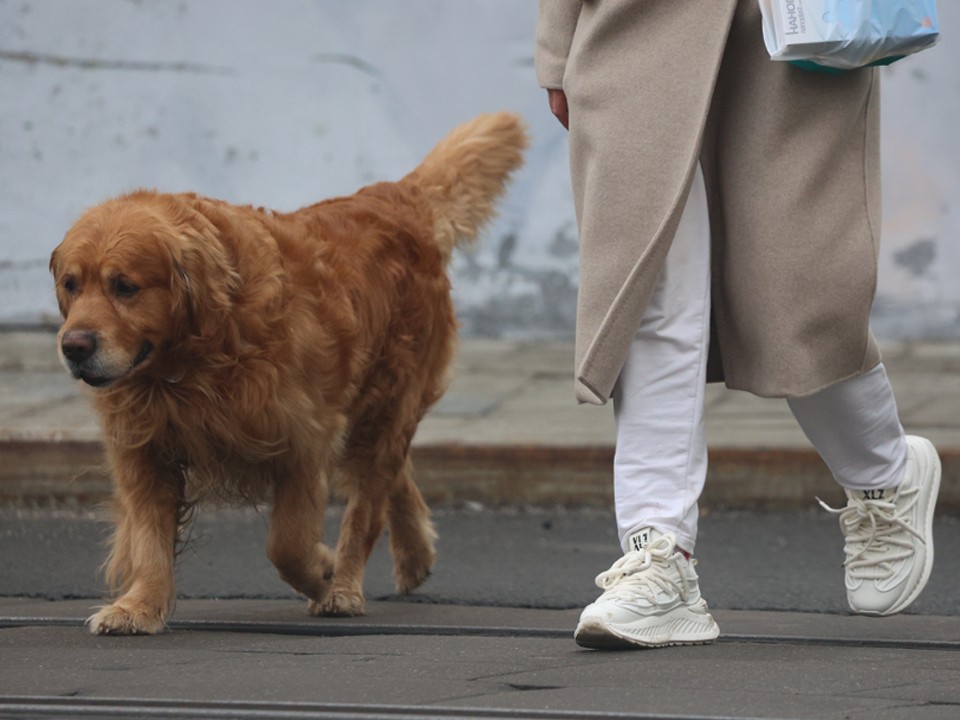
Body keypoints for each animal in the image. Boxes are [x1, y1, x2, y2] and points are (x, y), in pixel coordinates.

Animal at [49, 112, 528, 636]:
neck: (196, 359)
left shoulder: (303, 441)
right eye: (71, 285)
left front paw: (324, 572)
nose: (73, 346)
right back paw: (414, 554)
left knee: (368, 502)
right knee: (393, 476)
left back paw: (346, 586)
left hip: (388, 401)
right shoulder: (145, 450)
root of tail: (394, 197)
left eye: (125, 287)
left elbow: (287, 545)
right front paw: (140, 607)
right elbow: (148, 538)